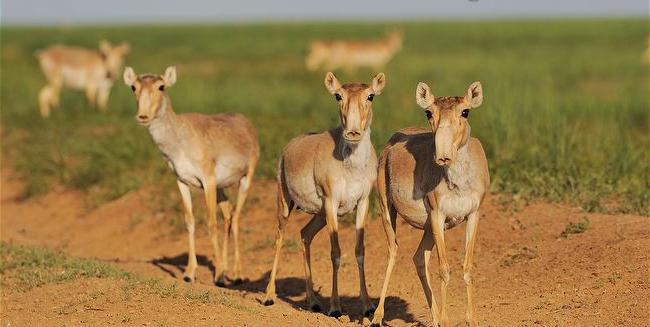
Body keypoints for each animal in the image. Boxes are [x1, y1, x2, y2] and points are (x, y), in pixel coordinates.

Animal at [122, 66, 258, 288]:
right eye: (133, 86)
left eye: (162, 86)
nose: (143, 116)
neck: (179, 140)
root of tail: (246, 122)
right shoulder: (182, 181)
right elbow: (190, 222)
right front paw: (189, 273)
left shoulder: (208, 181)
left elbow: (210, 223)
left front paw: (219, 276)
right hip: (221, 188)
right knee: (228, 215)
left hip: (245, 178)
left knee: (236, 216)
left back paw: (237, 275)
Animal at [262, 71, 384, 318]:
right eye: (338, 95)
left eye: (370, 96)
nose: (353, 132)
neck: (351, 166)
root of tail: (290, 146)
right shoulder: (331, 202)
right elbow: (335, 252)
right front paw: (335, 307)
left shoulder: (362, 203)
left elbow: (359, 251)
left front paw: (368, 306)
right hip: (286, 203)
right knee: (279, 237)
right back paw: (269, 296)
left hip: (318, 215)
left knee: (304, 234)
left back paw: (313, 302)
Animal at [370, 80, 486, 326]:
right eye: (429, 112)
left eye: (465, 111)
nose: (443, 155)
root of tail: (392, 141)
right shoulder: (437, 214)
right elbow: (444, 269)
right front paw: (446, 320)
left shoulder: (473, 215)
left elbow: (467, 267)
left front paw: (470, 320)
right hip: (388, 210)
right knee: (393, 251)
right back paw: (376, 316)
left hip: (428, 229)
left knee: (418, 258)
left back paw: (434, 317)